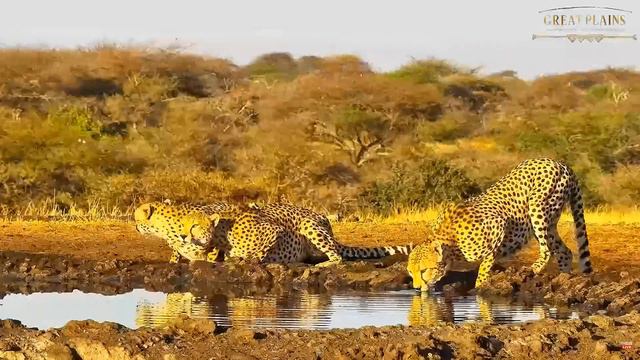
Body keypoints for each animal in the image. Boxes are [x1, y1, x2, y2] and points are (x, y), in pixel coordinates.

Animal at [408, 159, 592, 292]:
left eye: (424, 270)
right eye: (410, 271)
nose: (416, 288)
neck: (450, 242)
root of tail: (560, 163)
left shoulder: (498, 226)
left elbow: (485, 264)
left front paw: (479, 287)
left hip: (537, 209)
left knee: (547, 250)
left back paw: (535, 269)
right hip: (550, 221)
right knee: (564, 252)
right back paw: (562, 277)